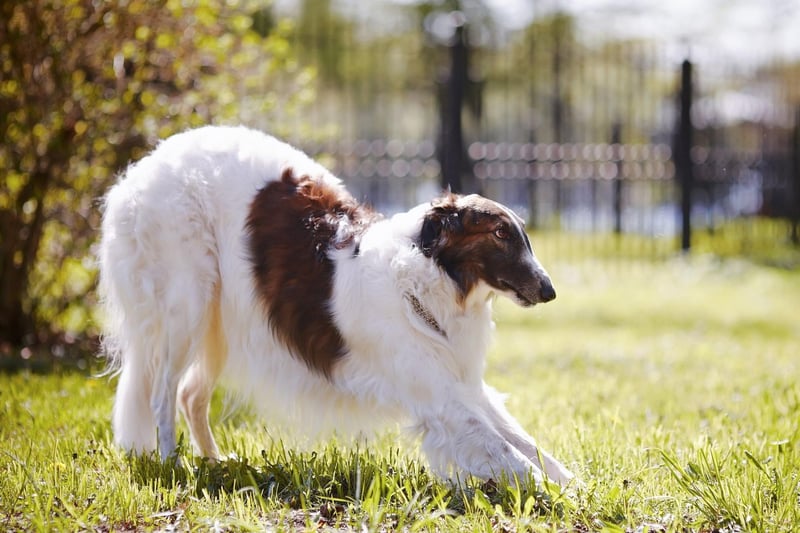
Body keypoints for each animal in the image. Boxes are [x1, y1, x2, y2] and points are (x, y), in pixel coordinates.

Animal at [98, 127, 576, 484]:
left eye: (522, 234)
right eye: (500, 234)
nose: (550, 290)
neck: (424, 278)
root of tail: (145, 164)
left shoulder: (464, 386)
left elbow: (531, 447)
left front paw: (576, 486)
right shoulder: (441, 397)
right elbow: (515, 458)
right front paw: (562, 499)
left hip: (219, 320)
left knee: (190, 394)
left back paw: (216, 462)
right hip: (187, 306)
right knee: (162, 394)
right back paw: (172, 463)